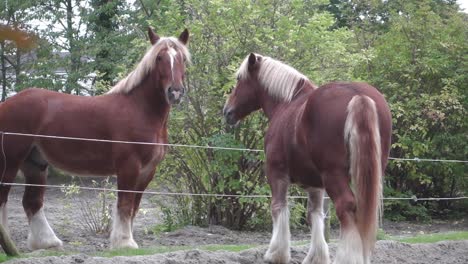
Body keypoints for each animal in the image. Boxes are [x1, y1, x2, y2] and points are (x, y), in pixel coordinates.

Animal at [0, 27, 190, 251]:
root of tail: (6, 104)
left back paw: (47, 242)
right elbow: (125, 205)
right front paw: (124, 243)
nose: (175, 92)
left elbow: (134, 207)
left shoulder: (147, 171)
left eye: (182, 58)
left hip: (35, 163)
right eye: (159, 57)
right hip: (10, 162)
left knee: (32, 202)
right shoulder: (129, 166)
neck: (140, 109)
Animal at [223, 52, 392, 262]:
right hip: (369, 174)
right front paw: (316, 257)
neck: (286, 104)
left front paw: (275, 253)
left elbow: (278, 207)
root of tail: (359, 96)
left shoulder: (276, 173)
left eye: (239, 79)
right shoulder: (315, 184)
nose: (227, 111)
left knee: (345, 207)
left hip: (333, 175)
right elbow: (315, 215)